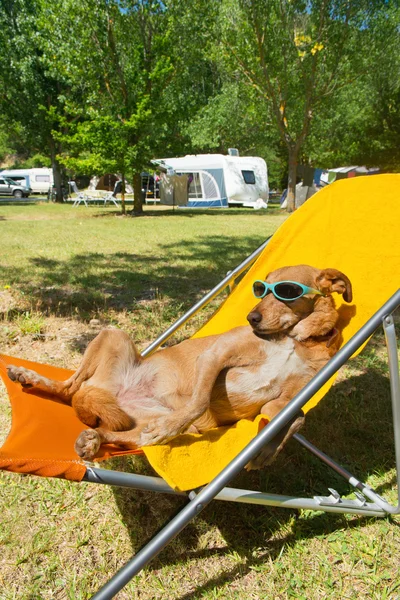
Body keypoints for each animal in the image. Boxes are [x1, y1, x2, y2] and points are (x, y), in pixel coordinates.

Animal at [5, 264, 350, 468]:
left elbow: (296, 420)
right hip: (113, 335)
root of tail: (110, 395)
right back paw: (27, 374)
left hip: (138, 427)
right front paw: (172, 425)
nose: (252, 318)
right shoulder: (214, 356)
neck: (296, 340)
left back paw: (92, 439)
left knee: (112, 431)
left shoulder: (286, 400)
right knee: (68, 388)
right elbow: (198, 402)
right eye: (261, 289)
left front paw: (267, 451)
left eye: (287, 291)